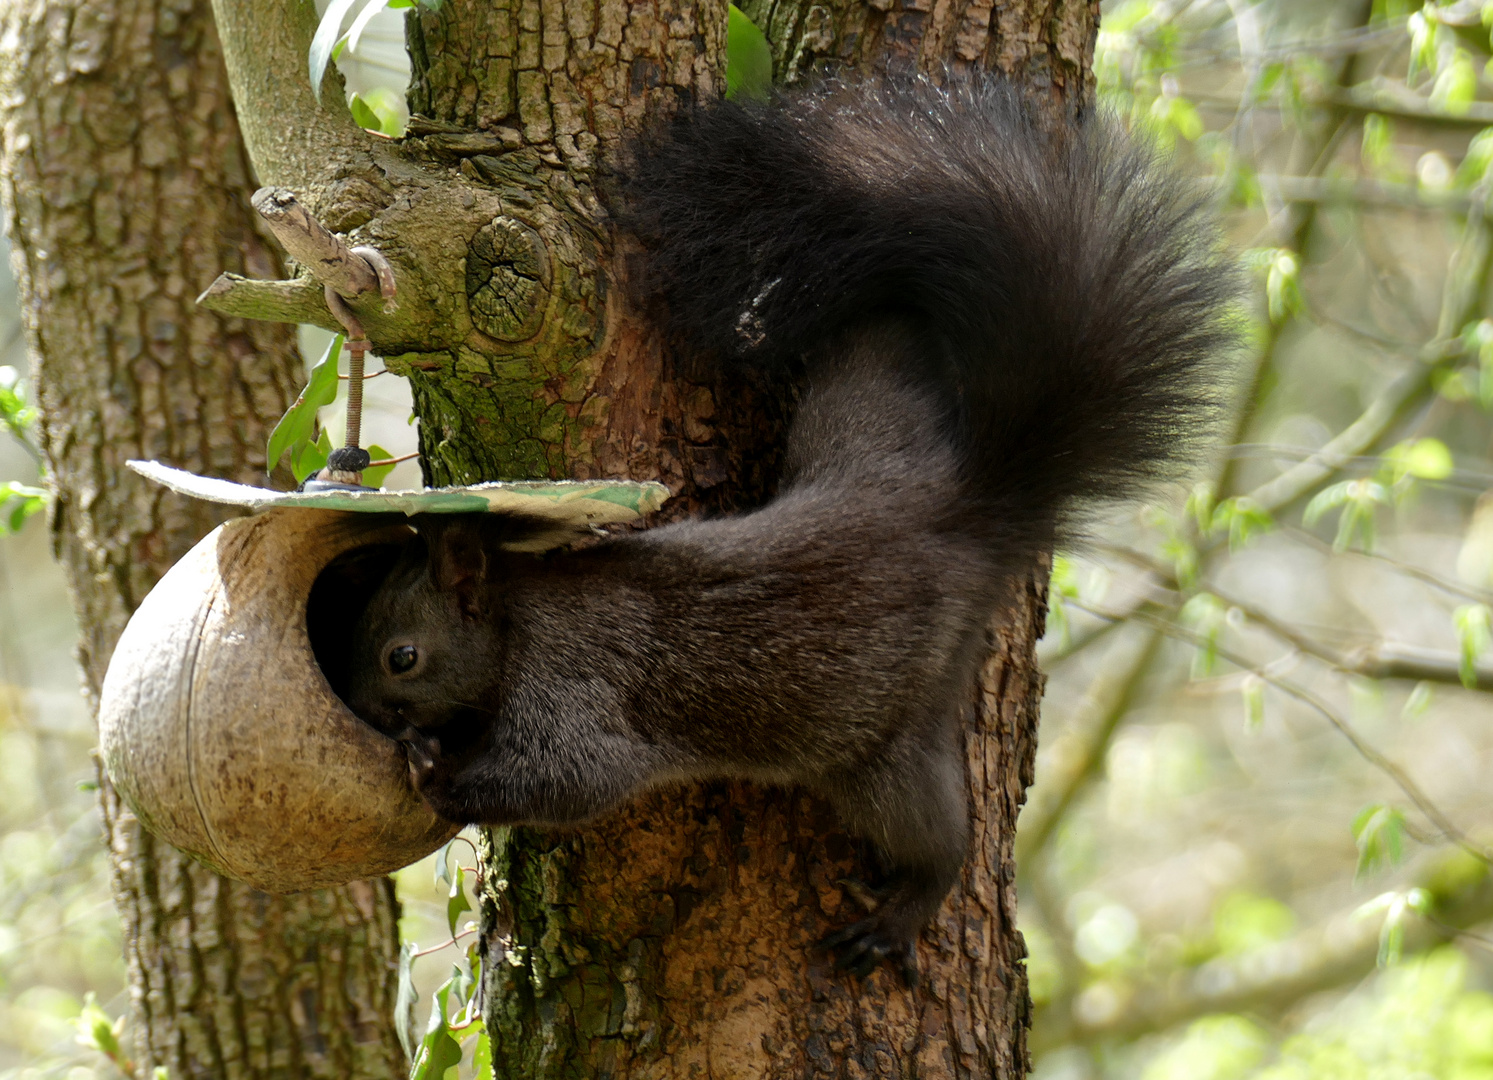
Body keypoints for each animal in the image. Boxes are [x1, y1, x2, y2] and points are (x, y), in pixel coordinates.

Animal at [341, 78, 1236, 979]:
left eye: (401, 658)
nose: (365, 714)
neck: (518, 612)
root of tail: (966, 510)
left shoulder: (578, 685)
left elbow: (570, 777)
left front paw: (440, 773)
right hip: (863, 413)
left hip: (883, 743)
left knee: (937, 838)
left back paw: (899, 916)